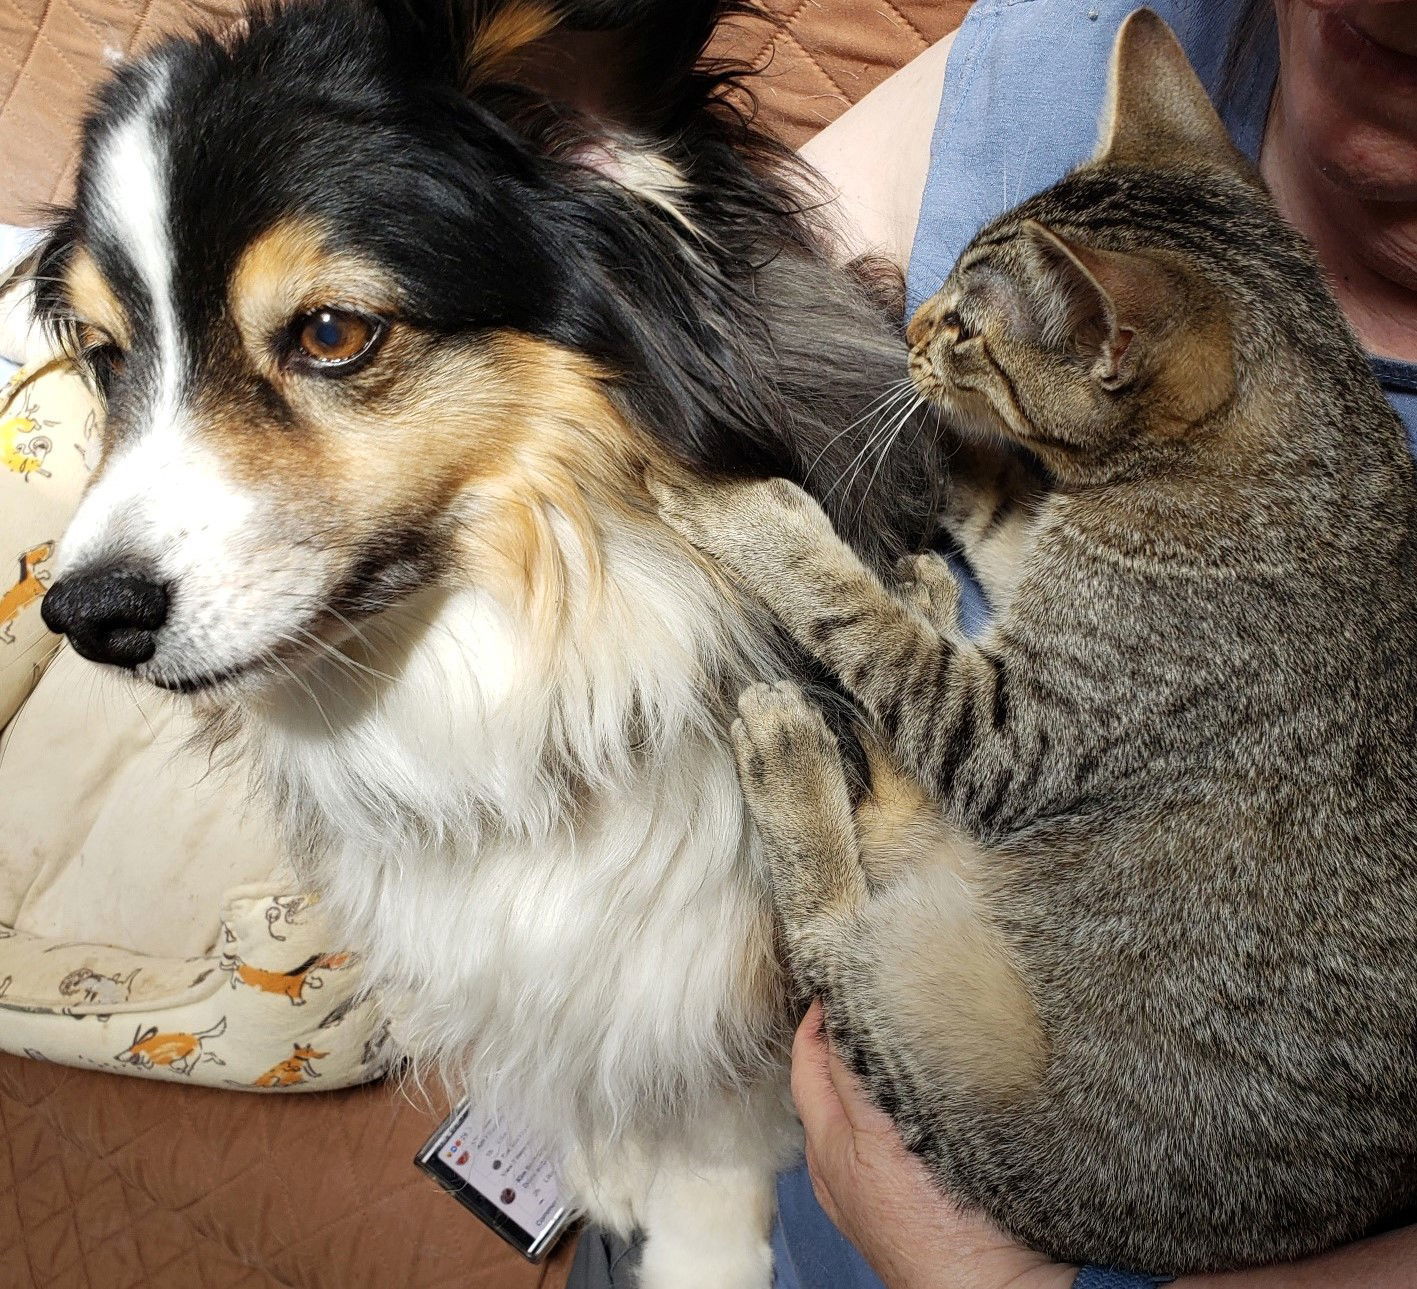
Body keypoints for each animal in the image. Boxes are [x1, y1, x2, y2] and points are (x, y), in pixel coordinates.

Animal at [651, 10, 1417, 1280]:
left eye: (968, 324)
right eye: (946, 301)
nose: (913, 321)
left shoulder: (1016, 732)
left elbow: (848, 605)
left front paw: (763, 504)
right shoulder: (1031, 581)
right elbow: (993, 510)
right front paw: (930, 444)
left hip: (941, 1016)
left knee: (830, 938)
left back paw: (791, 745)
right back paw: (915, 585)